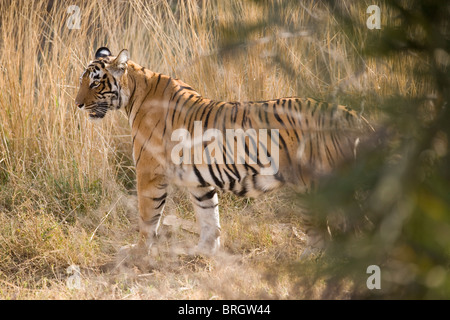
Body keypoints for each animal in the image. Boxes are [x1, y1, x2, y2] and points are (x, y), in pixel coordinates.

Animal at [75, 47, 374, 256]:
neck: (135, 92)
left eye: (94, 83)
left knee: (326, 232)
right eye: (82, 81)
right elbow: (209, 216)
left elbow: (148, 217)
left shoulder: (149, 173)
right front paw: (204, 251)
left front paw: (138, 252)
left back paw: (311, 258)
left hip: (314, 186)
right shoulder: (198, 180)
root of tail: (352, 115)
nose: (77, 104)